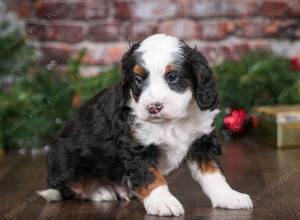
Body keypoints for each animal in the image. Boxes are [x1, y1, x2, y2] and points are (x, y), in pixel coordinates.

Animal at [38, 34, 253, 217]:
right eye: (139, 79)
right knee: (70, 187)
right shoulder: (135, 144)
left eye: (172, 77)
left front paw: (228, 196)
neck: (171, 122)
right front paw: (162, 202)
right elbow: (150, 176)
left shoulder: (201, 142)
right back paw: (100, 191)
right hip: (65, 160)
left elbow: (213, 174)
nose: (153, 107)